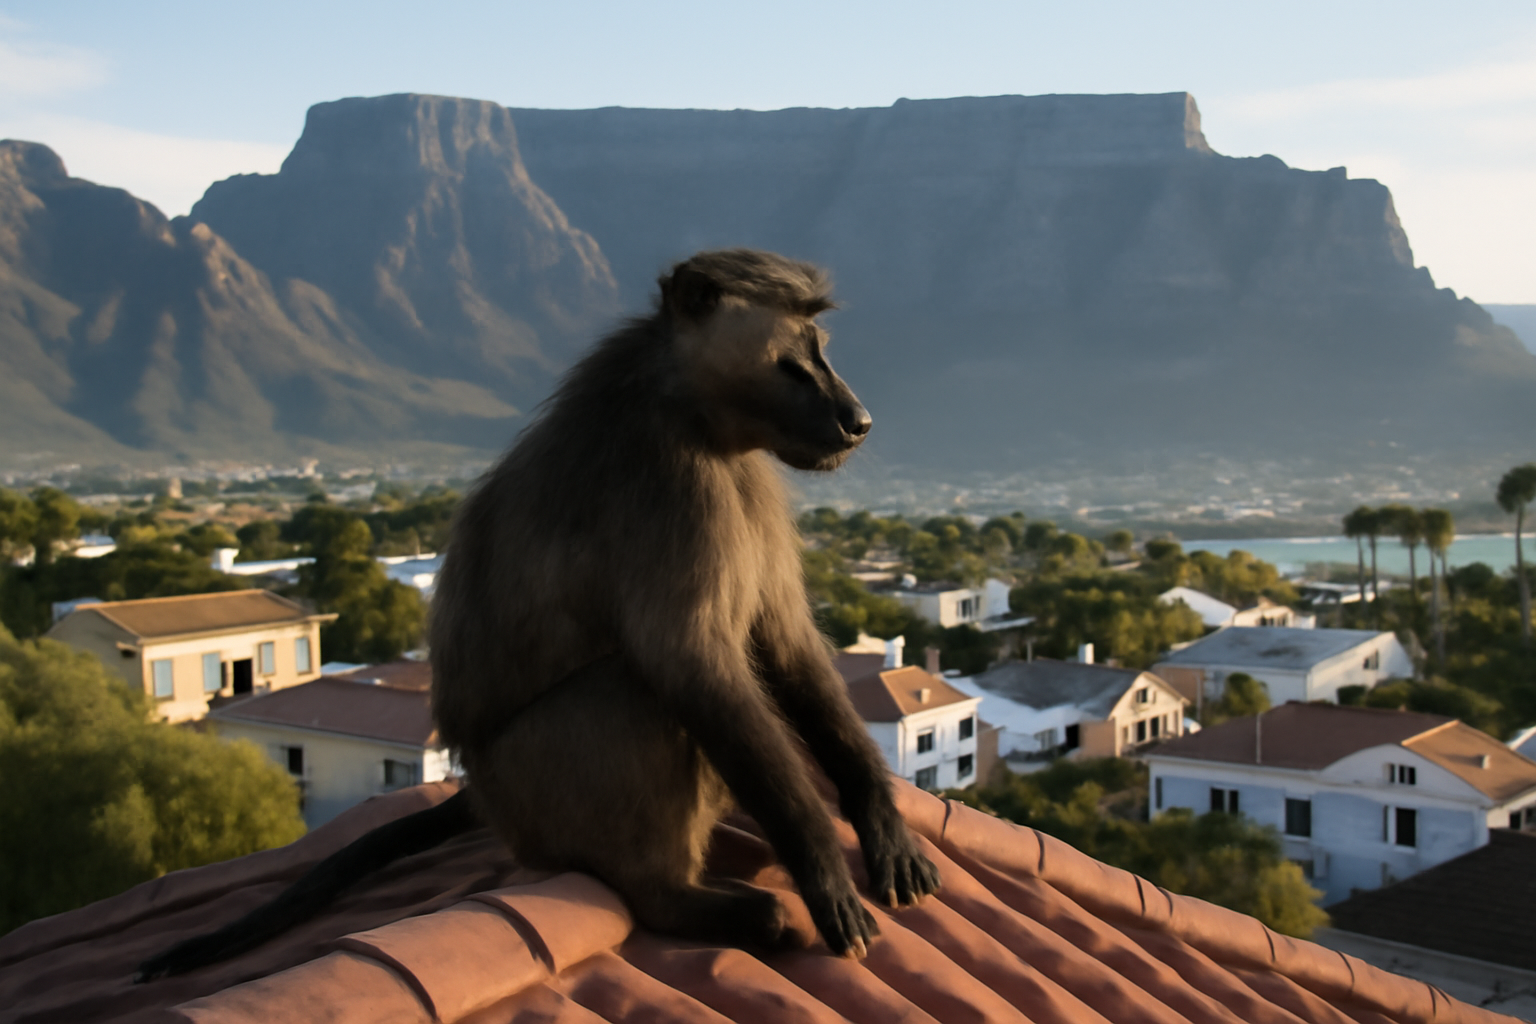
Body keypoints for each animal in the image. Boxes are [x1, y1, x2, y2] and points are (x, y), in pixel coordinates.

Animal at [137, 249, 938, 980]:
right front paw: (822, 872)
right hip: (536, 792)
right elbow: (693, 667)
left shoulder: (748, 490)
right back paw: (688, 902)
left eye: (820, 349)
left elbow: (786, 646)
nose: (858, 420)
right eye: (795, 364)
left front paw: (881, 826)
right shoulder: (672, 496)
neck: (684, 410)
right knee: (634, 691)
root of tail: (487, 796)